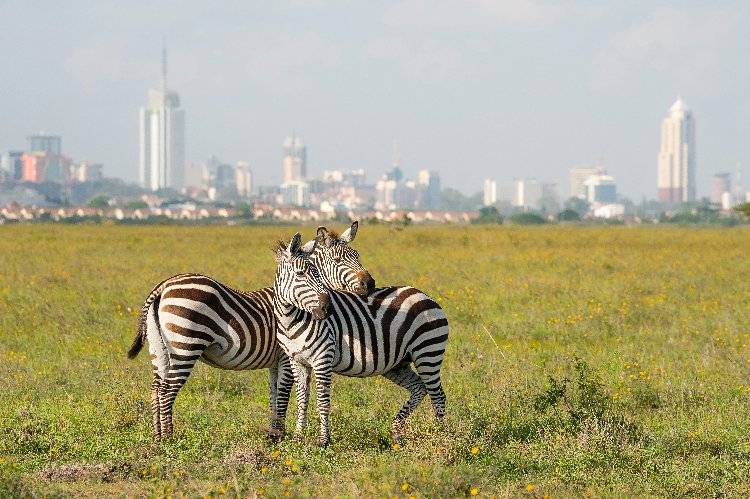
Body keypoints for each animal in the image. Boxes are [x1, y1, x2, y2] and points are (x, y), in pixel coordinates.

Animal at [126, 222, 371, 439]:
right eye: (338, 260)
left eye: (357, 255)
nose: (370, 284)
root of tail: (163, 286)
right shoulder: (286, 357)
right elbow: (283, 396)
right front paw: (279, 435)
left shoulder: (275, 362)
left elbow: (274, 395)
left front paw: (273, 434)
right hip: (186, 346)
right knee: (167, 391)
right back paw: (169, 439)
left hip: (159, 348)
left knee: (156, 388)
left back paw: (157, 436)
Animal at [272, 235, 449, 447]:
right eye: (300, 274)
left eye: (317, 274)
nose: (327, 308)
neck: (290, 320)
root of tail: (425, 295)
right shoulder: (296, 361)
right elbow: (301, 400)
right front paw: (298, 438)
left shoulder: (323, 360)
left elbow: (323, 402)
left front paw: (324, 441)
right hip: (398, 364)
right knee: (419, 388)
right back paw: (397, 432)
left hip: (428, 352)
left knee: (438, 395)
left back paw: (439, 437)